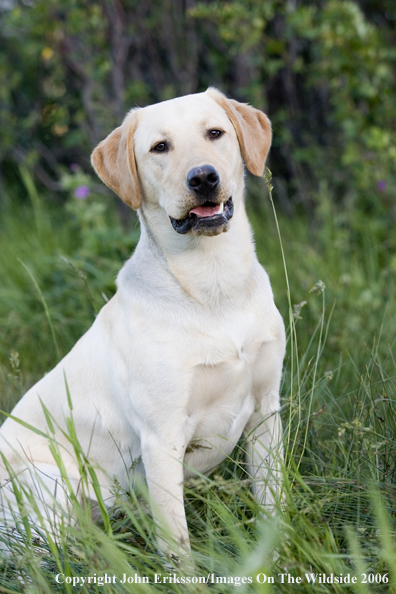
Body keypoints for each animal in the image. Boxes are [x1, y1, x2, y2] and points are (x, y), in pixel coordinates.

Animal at [0, 88, 284, 560]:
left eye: (215, 133)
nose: (202, 178)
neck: (214, 286)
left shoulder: (266, 411)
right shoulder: (161, 438)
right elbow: (177, 544)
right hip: (49, 486)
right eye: (160, 147)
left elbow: (274, 506)